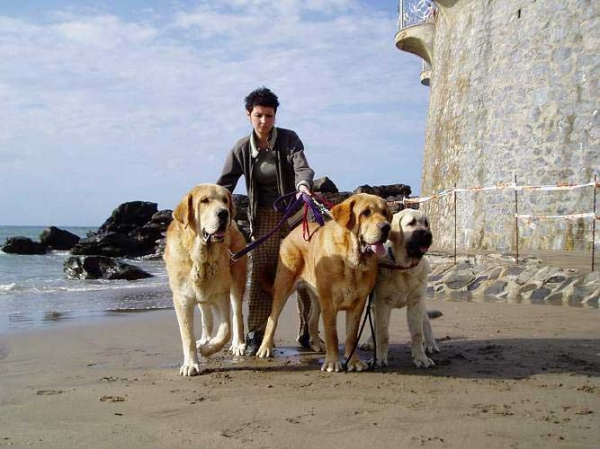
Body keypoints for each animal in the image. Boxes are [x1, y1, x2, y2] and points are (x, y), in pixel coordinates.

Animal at [164, 182, 246, 374]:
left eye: (224, 199)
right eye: (204, 201)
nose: (224, 213)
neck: (201, 259)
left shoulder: (221, 294)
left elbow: (226, 329)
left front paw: (208, 349)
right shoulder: (182, 298)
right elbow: (187, 335)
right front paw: (191, 363)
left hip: (235, 285)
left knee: (237, 316)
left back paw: (237, 344)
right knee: (206, 319)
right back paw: (205, 339)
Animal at [255, 192, 392, 372]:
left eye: (385, 213)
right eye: (366, 213)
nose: (386, 227)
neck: (351, 262)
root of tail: (292, 233)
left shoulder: (358, 304)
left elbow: (351, 335)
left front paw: (353, 361)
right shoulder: (329, 303)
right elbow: (332, 333)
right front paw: (332, 362)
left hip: (316, 294)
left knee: (311, 319)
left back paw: (317, 344)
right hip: (283, 287)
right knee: (272, 319)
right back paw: (265, 348)